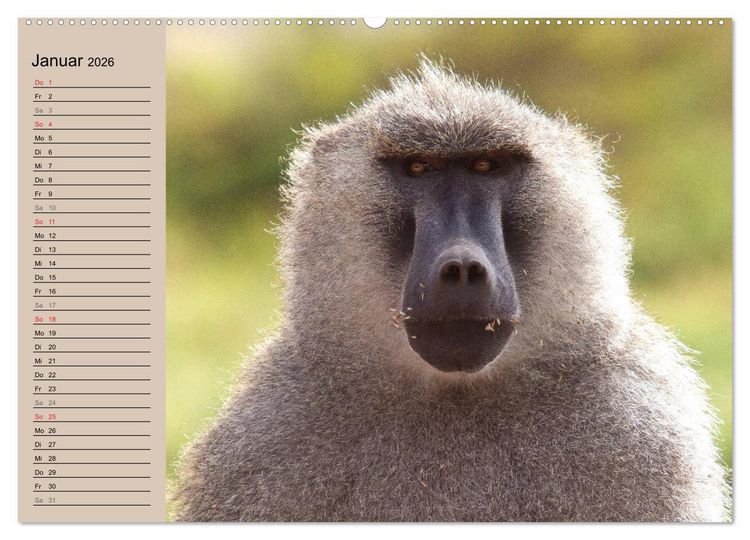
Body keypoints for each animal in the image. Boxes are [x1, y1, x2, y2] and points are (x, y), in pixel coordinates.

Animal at [171, 59, 730, 522]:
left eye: (487, 166)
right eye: (419, 168)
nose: (461, 267)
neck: (455, 395)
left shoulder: (638, 431)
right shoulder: (264, 440)